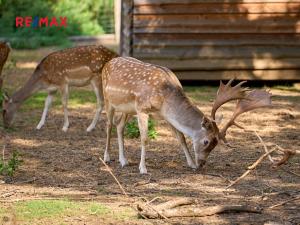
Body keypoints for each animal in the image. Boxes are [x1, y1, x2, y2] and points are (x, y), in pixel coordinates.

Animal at [101, 56, 272, 174]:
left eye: (216, 144)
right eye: (206, 141)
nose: (202, 163)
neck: (165, 98)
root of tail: (108, 62)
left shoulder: (166, 116)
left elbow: (181, 137)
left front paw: (191, 164)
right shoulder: (142, 108)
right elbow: (144, 138)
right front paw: (143, 168)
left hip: (128, 109)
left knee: (119, 125)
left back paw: (124, 160)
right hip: (108, 99)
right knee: (109, 125)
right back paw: (107, 157)